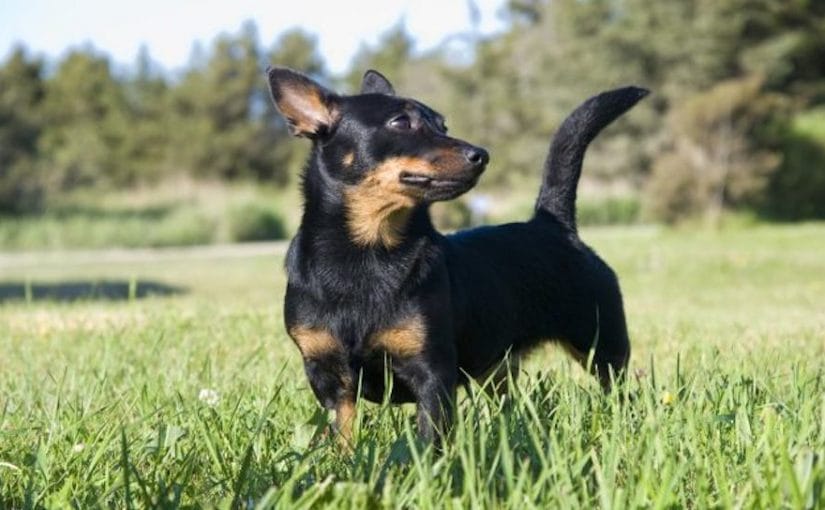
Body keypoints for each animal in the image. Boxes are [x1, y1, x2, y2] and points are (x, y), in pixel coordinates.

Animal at [268, 66, 648, 442]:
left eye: (443, 126)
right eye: (401, 122)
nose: (481, 154)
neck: (366, 250)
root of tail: (553, 224)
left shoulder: (431, 374)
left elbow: (429, 439)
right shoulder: (330, 380)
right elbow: (341, 438)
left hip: (603, 349)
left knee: (621, 393)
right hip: (500, 368)